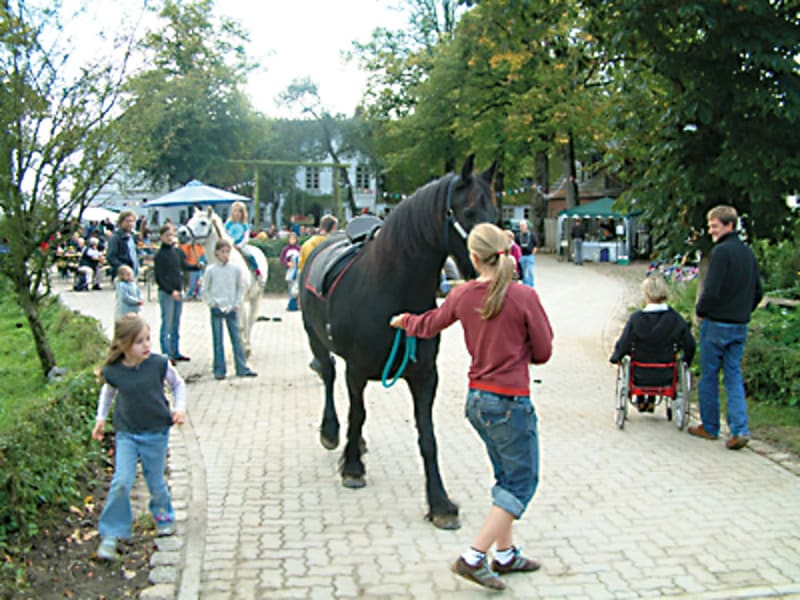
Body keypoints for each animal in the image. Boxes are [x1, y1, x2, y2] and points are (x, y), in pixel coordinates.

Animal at [180, 207, 268, 356]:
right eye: (190, 219)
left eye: (203, 222)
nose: (181, 233)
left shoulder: (239, 300)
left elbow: (240, 325)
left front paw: (243, 350)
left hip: (254, 297)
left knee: (250, 321)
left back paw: (247, 346)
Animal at [302, 156, 500, 528]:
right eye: (468, 213)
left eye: (496, 213)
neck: (391, 291)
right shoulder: (356, 370)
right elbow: (357, 413)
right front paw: (352, 468)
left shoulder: (425, 376)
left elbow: (427, 437)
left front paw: (440, 502)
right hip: (316, 340)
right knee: (329, 376)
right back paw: (331, 431)